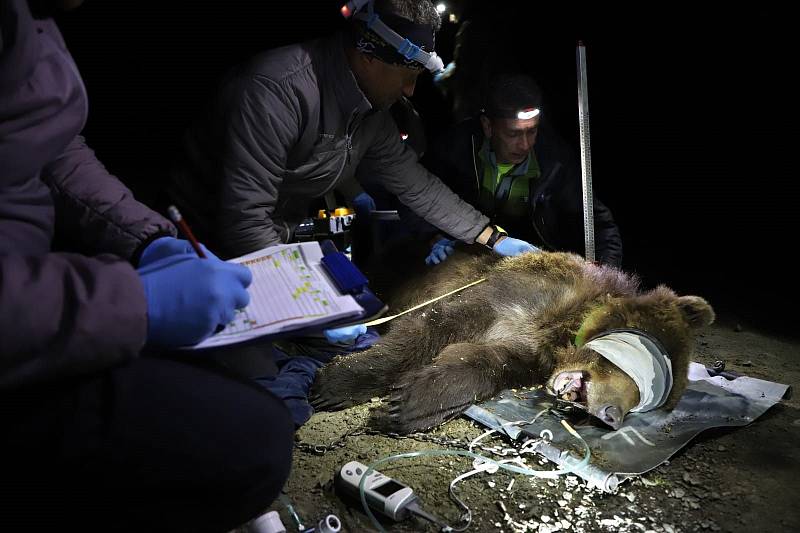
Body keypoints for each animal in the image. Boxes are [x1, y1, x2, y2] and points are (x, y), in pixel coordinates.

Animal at [310, 247, 716, 434]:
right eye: (644, 363)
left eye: (647, 402)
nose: (613, 416)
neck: (564, 325)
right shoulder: (511, 296)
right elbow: (431, 326)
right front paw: (335, 384)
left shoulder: (529, 352)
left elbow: (481, 363)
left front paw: (407, 405)